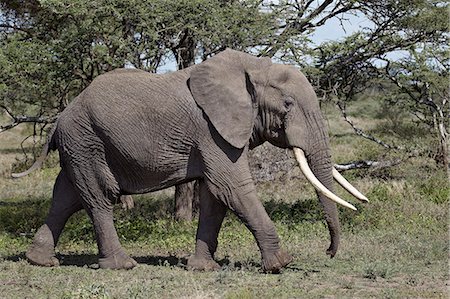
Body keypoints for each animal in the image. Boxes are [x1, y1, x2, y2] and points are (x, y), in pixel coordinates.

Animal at [12, 49, 368, 274]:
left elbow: (214, 196)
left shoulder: (216, 133)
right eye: (288, 104)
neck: (253, 67)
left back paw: (40, 262)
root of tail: (61, 117)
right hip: (86, 140)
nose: (328, 252)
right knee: (98, 197)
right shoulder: (211, 129)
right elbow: (232, 188)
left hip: (81, 144)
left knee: (66, 197)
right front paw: (281, 264)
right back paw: (122, 266)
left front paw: (203, 268)